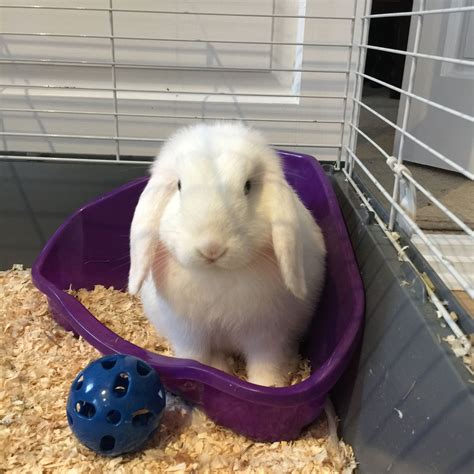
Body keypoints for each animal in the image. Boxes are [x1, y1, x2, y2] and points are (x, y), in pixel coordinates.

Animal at [130, 122, 326, 386]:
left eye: (247, 186)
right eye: (179, 186)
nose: (211, 248)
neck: (217, 275)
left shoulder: (268, 335)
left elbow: (267, 365)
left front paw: (267, 386)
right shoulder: (189, 334)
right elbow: (195, 360)